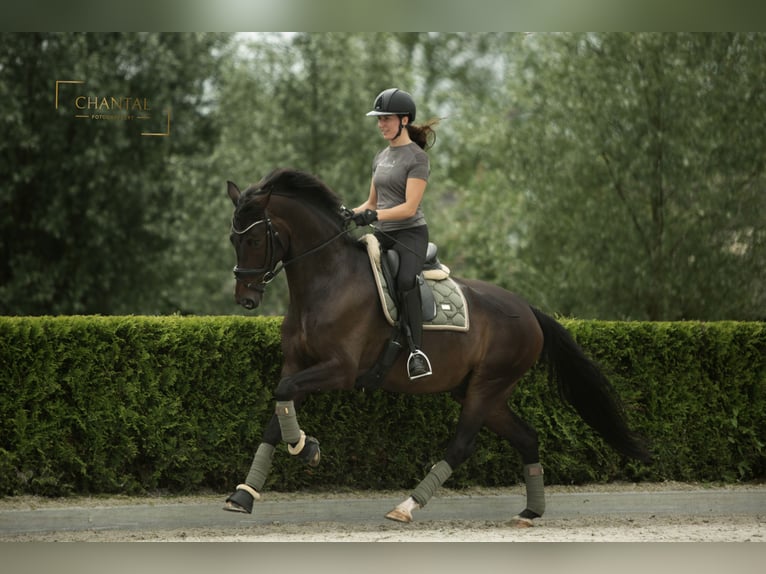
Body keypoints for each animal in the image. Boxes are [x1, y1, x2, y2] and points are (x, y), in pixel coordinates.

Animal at [222, 168, 656, 528]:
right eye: (232, 238)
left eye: (255, 238)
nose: (246, 298)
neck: (327, 281)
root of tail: (529, 311)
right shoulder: (296, 363)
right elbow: (278, 411)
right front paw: (244, 495)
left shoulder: (339, 369)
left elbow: (284, 397)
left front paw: (307, 448)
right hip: (483, 391)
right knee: (527, 438)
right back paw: (530, 512)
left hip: (487, 386)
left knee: (462, 445)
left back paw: (406, 506)